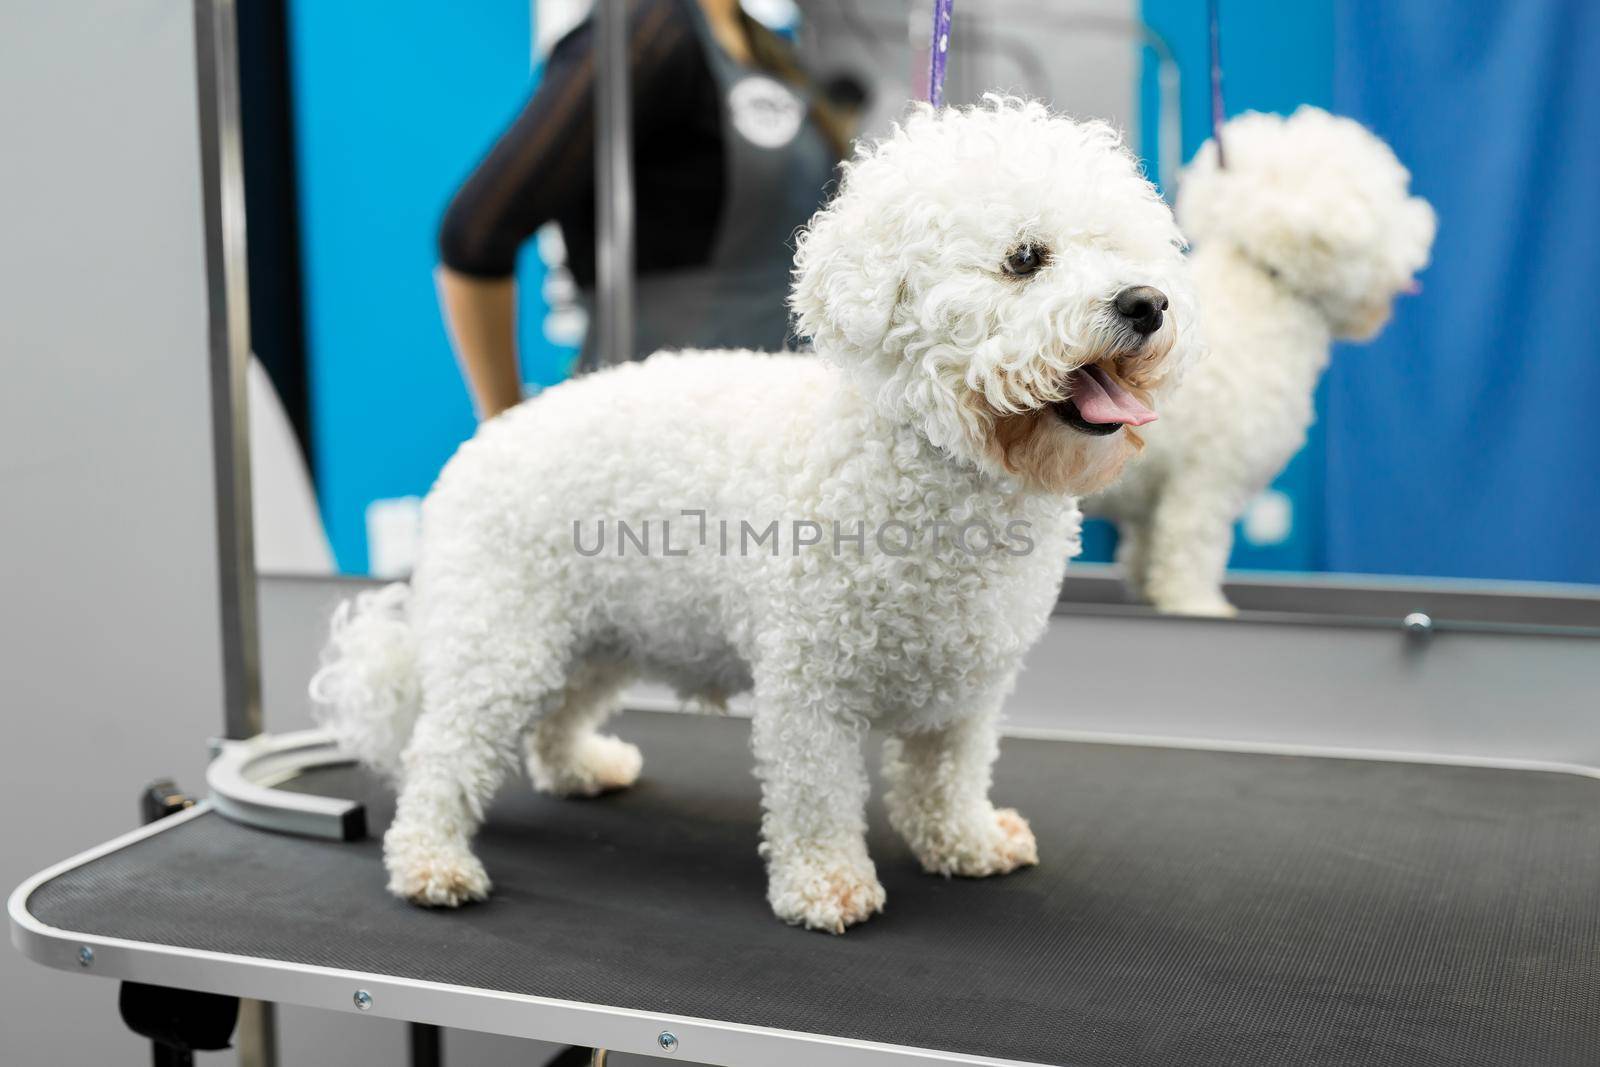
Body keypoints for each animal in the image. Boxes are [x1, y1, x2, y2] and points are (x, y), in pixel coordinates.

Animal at [312, 99, 1196, 934]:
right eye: (1024, 258)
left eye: (1126, 249)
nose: (1145, 302)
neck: (924, 466)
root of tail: (476, 449)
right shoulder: (809, 685)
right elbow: (816, 796)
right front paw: (827, 885)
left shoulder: (967, 689)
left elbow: (948, 778)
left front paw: (967, 843)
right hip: (504, 641)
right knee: (442, 752)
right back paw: (431, 861)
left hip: (595, 633)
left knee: (556, 716)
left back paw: (580, 768)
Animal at [1088, 108, 1440, 617]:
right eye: (1390, 203)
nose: (1425, 221)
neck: (1265, 293)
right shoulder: (1208, 479)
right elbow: (1190, 547)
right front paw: (1200, 603)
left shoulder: (1157, 497)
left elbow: (1147, 549)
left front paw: (1152, 591)